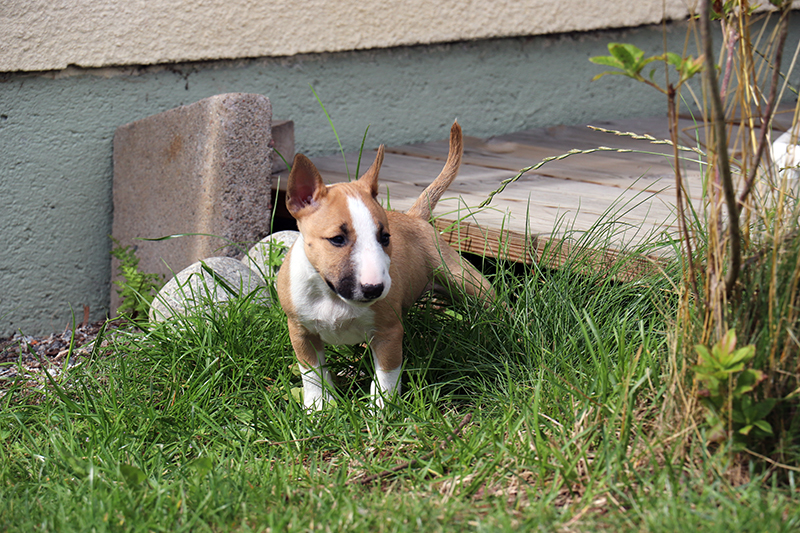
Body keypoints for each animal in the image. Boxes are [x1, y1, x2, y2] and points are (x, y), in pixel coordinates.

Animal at [276, 121, 494, 410]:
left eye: (385, 237)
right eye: (337, 239)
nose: (374, 289)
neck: (332, 296)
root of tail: (414, 217)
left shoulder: (389, 333)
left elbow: (386, 377)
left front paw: (381, 412)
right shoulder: (301, 333)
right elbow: (313, 376)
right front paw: (318, 409)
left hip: (465, 280)